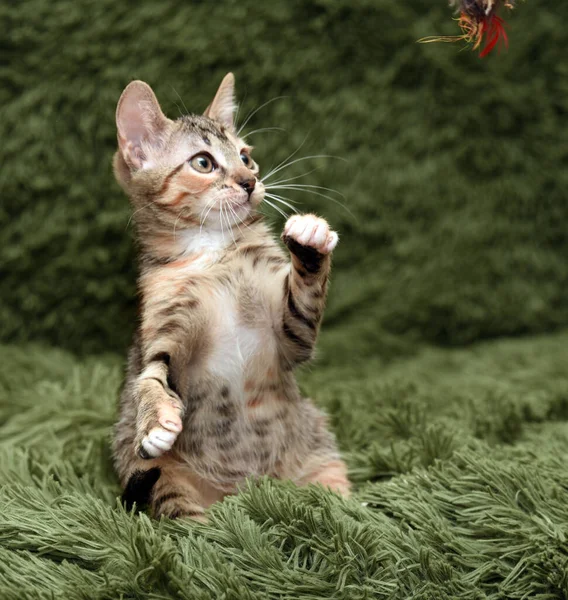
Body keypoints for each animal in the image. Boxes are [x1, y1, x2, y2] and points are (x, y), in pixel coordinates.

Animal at [111, 71, 350, 520]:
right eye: (203, 162)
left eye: (245, 156)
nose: (251, 182)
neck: (213, 251)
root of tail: (246, 492)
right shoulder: (164, 325)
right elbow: (150, 375)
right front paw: (154, 423)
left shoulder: (291, 340)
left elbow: (303, 304)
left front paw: (309, 238)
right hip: (169, 485)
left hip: (319, 449)